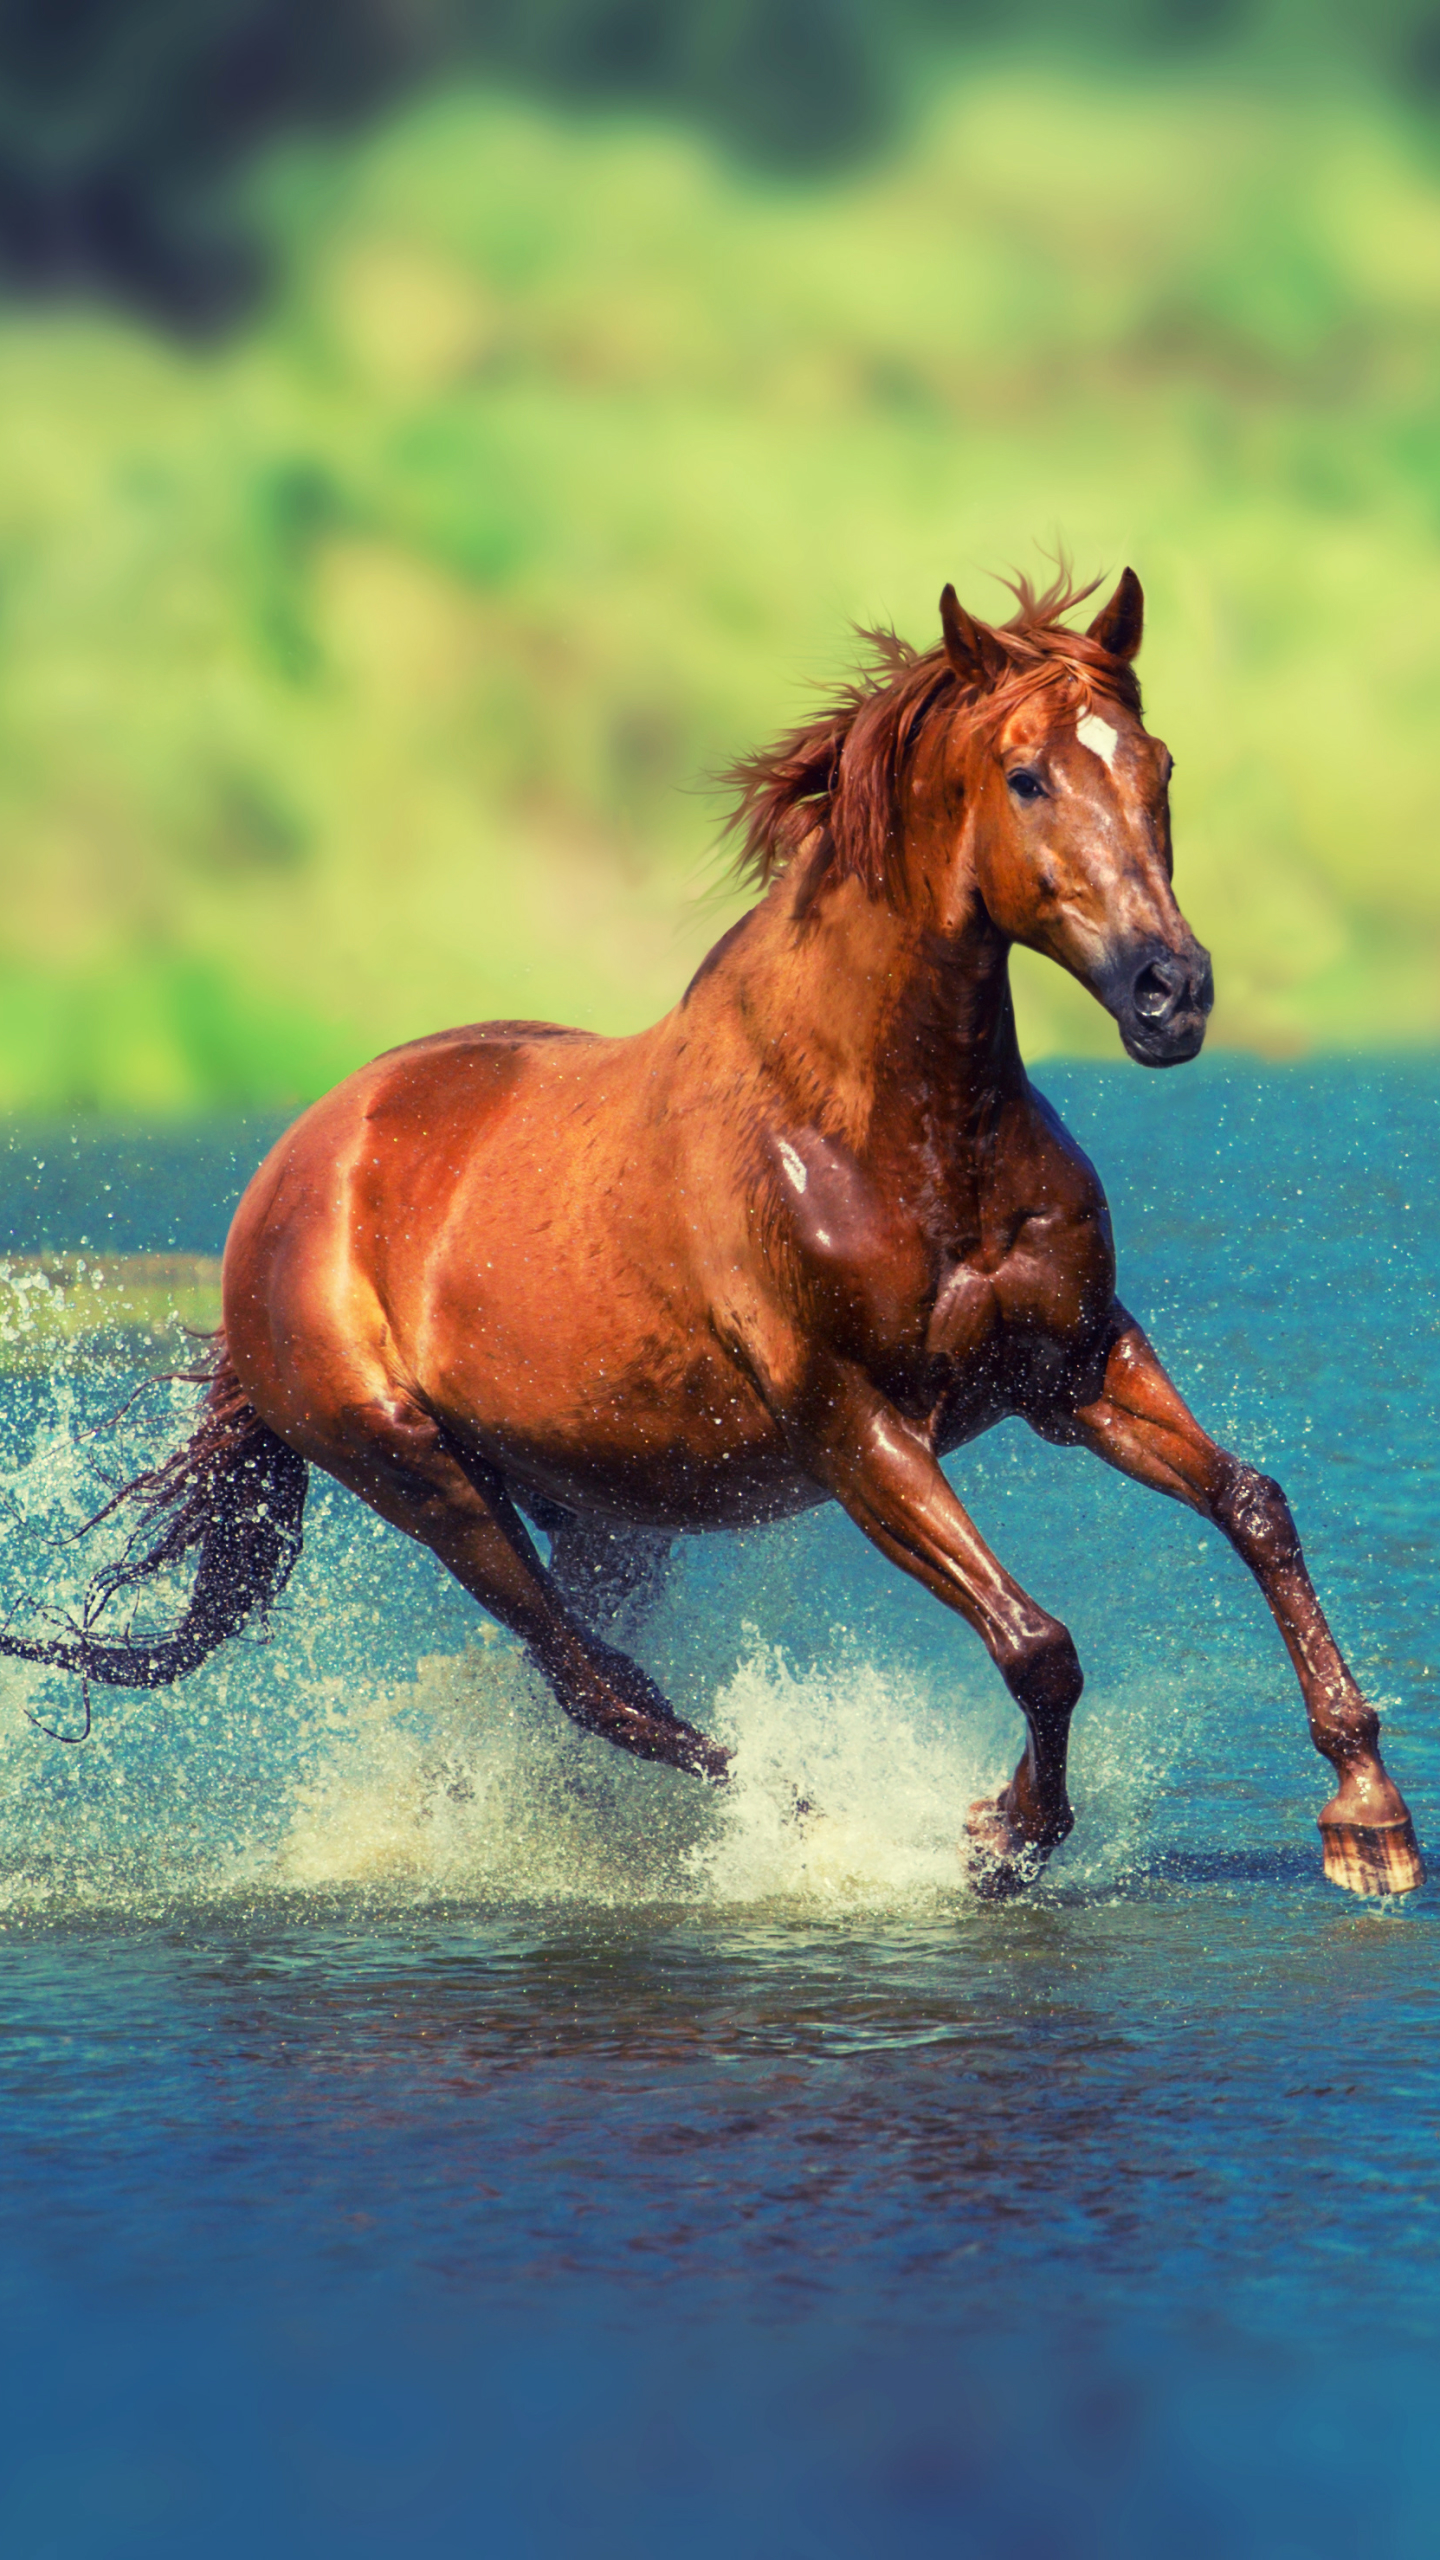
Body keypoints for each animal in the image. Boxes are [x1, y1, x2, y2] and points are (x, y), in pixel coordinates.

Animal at [0, 576, 1414, 1904]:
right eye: (1028, 775)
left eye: (1156, 765)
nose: (1171, 994)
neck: (887, 1125)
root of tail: (289, 1178)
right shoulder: (855, 1424)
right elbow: (1036, 1642)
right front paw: (1000, 1831)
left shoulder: (1070, 1366)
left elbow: (1255, 1505)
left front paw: (1367, 1817)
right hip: (420, 1474)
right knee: (595, 1682)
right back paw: (809, 1820)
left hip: (605, 1507)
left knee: (576, 1681)